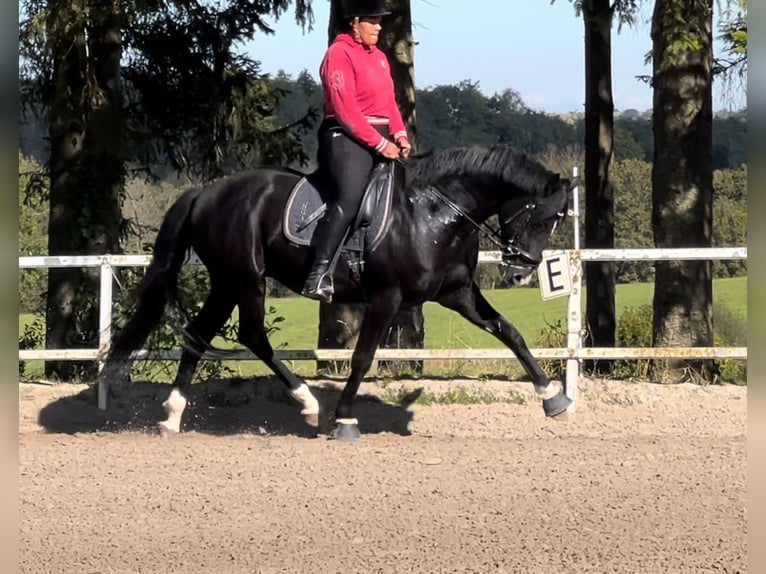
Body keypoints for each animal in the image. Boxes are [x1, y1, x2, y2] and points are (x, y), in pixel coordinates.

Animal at [102, 144, 576, 440]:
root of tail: (206, 191)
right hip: (246, 279)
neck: (431, 214)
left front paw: (552, 398)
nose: (521, 272)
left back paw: (173, 416)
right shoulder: (385, 298)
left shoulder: (457, 294)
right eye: (538, 217)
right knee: (251, 335)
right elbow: (363, 357)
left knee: (200, 336)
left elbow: (508, 331)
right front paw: (345, 419)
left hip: (226, 282)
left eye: (555, 221)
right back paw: (308, 403)